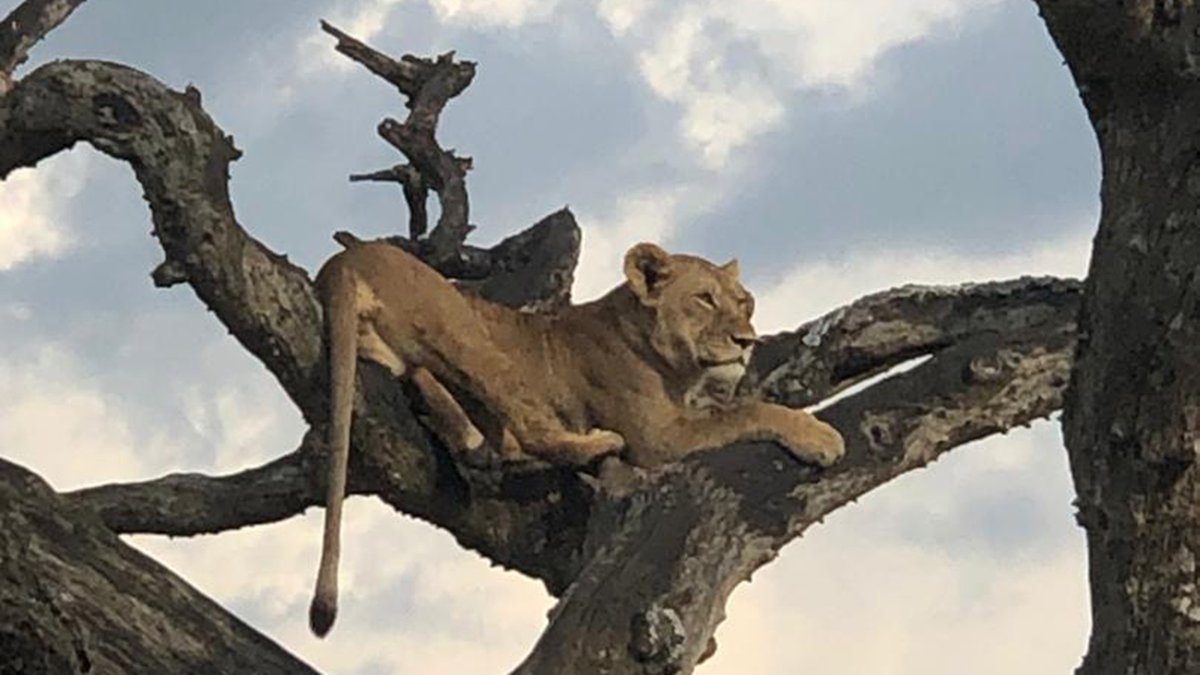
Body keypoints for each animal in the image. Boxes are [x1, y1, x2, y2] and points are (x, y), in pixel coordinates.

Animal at [307, 240, 845, 636]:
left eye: (744, 302)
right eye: (704, 299)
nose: (747, 341)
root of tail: (342, 261)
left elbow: (739, 405)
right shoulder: (657, 436)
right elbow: (752, 409)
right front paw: (819, 435)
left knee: (426, 378)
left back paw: (472, 438)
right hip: (462, 322)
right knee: (527, 423)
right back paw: (589, 445)